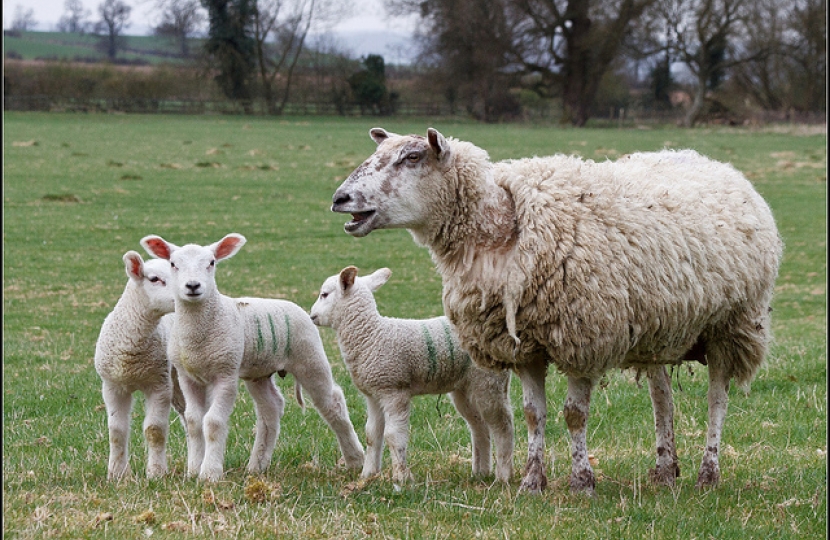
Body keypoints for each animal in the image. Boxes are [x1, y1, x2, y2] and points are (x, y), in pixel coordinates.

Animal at [94, 250, 186, 480]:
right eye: (154, 279)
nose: (188, 292)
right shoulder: (112, 386)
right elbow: (116, 432)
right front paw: (117, 474)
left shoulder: (159, 384)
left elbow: (154, 430)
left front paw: (156, 472)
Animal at [140, 233, 365, 482]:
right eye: (173, 264)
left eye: (211, 263)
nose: (193, 286)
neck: (199, 335)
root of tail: (294, 307)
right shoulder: (187, 376)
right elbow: (194, 421)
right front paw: (193, 470)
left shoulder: (225, 373)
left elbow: (213, 422)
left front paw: (210, 473)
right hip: (260, 372)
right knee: (271, 408)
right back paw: (257, 465)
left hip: (309, 356)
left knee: (333, 403)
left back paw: (356, 459)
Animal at [310, 266, 514, 484]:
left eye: (324, 294)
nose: (311, 315)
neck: (371, 336)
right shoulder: (374, 394)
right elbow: (372, 435)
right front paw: (368, 475)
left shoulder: (394, 390)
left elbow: (393, 436)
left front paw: (401, 477)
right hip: (465, 388)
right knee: (479, 427)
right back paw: (480, 472)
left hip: (489, 382)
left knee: (503, 426)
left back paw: (503, 475)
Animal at [330, 128, 782, 494]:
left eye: (411, 157)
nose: (340, 199)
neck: (503, 230)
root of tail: (713, 162)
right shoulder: (523, 345)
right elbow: (533, 414)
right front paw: (532, 481)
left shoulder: (584, 336)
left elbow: (574, 415)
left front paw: (582, 481)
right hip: (658, 326)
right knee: (662, 398)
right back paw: (664, 469)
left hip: (732, 325)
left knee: (717, 398)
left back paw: (708, 473)